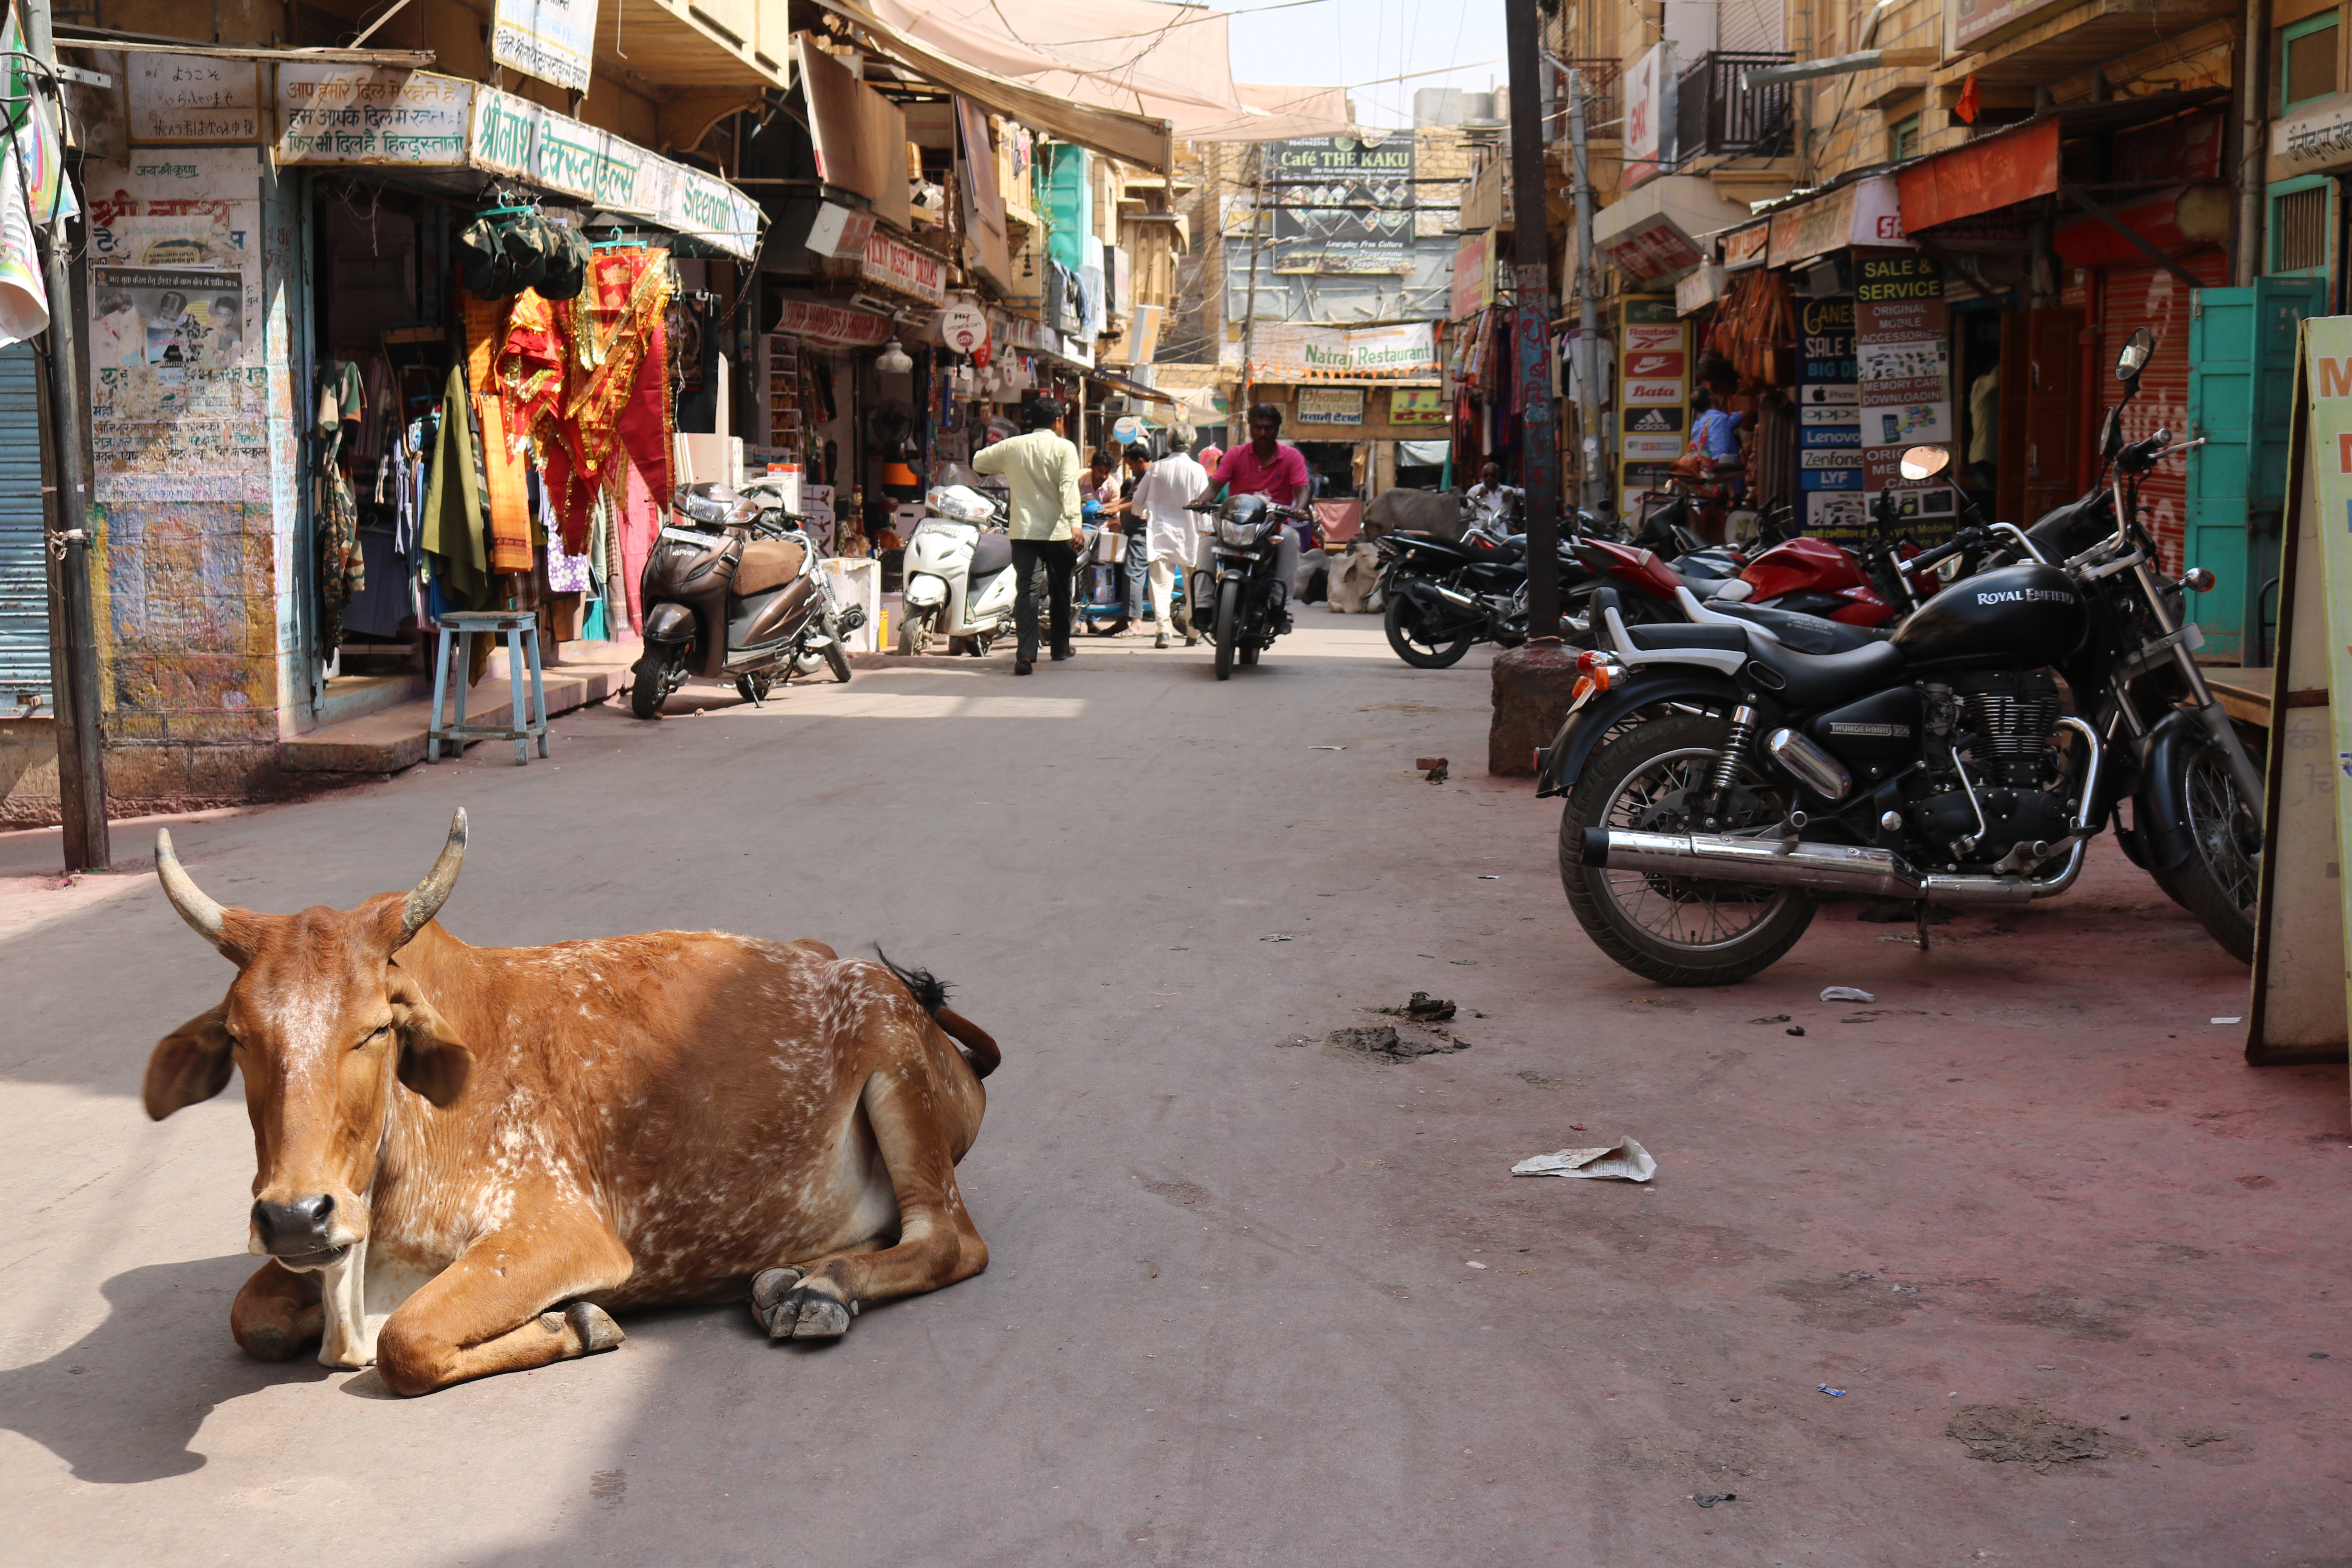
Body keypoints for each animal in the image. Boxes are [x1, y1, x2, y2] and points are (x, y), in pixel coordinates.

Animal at [141, 810, 998, 1395]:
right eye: (239, 1036)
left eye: (376, 1028)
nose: (294, 1215)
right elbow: (253, 1319)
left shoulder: (563, 1233)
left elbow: (405, 1342)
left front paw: (578, 1322)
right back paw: (786, 1277)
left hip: (891, 1052)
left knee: (948, 1242)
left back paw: (820, 1290)